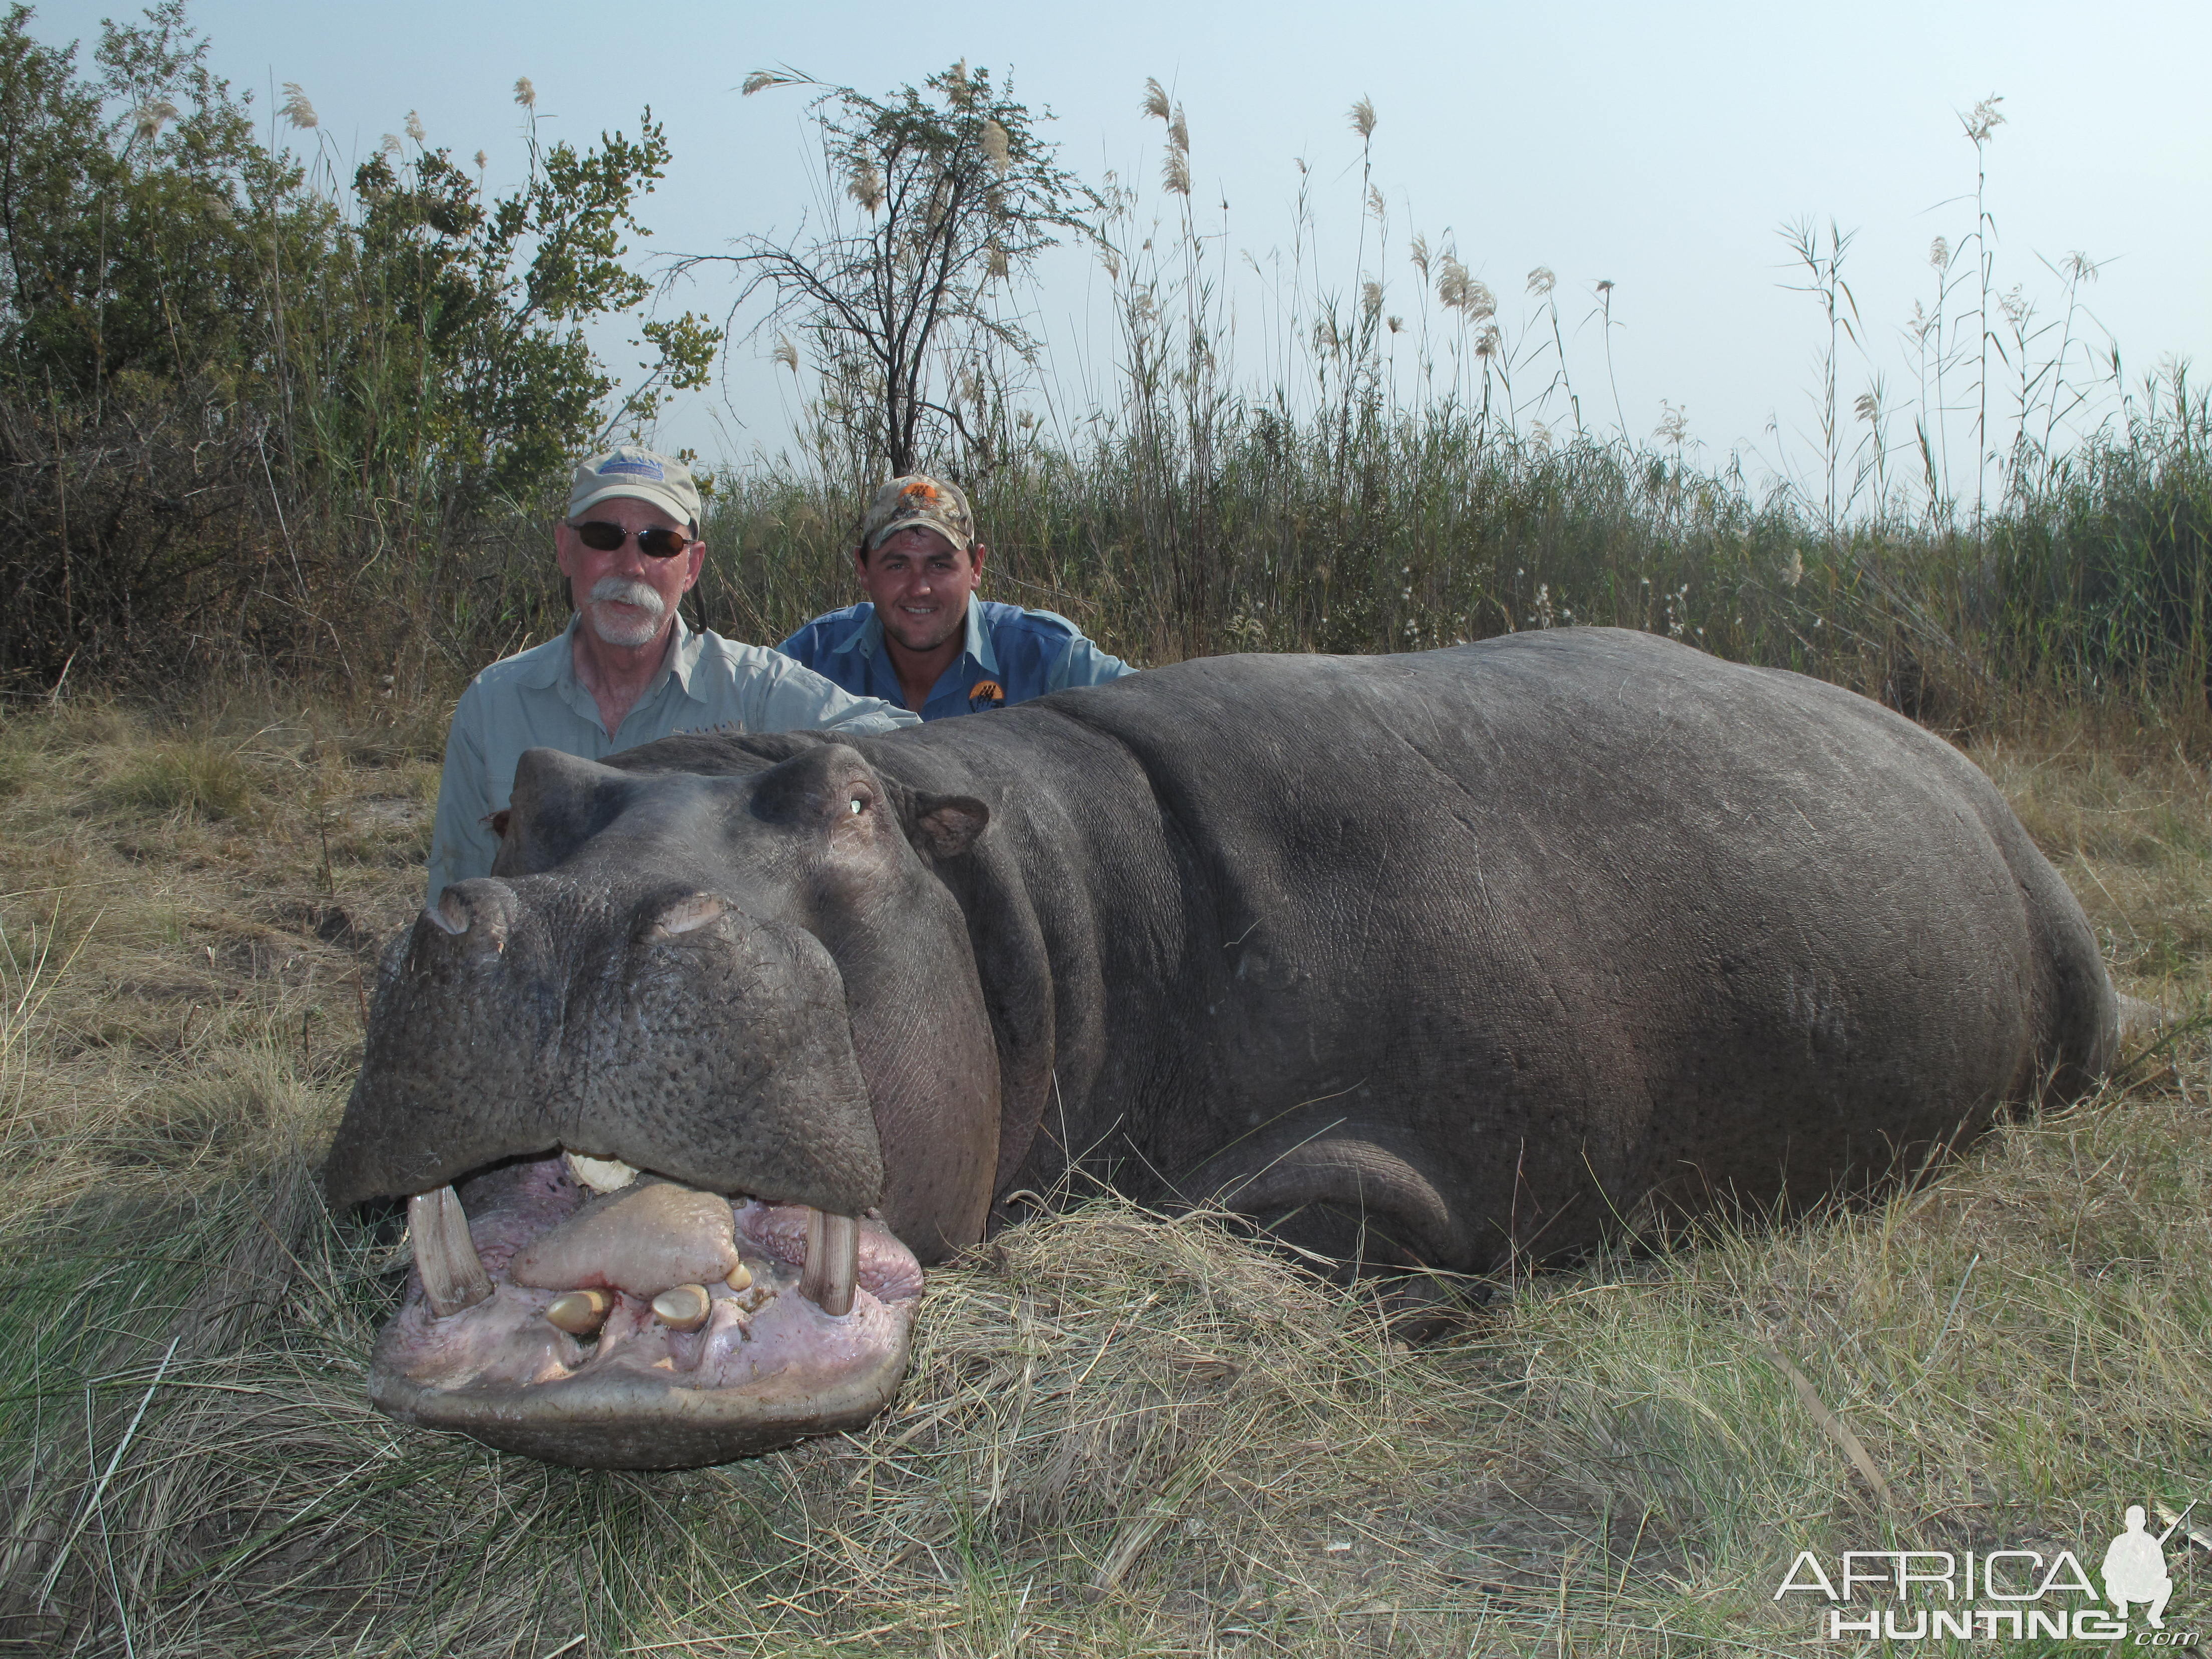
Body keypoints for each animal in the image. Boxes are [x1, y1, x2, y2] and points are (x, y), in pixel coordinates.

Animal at [323, 632, 2106, 1469]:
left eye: (849, 802)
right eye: (526, 797)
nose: (572, 921)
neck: (1040, 909)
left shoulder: (1394, 1161)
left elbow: (1279, 1225)